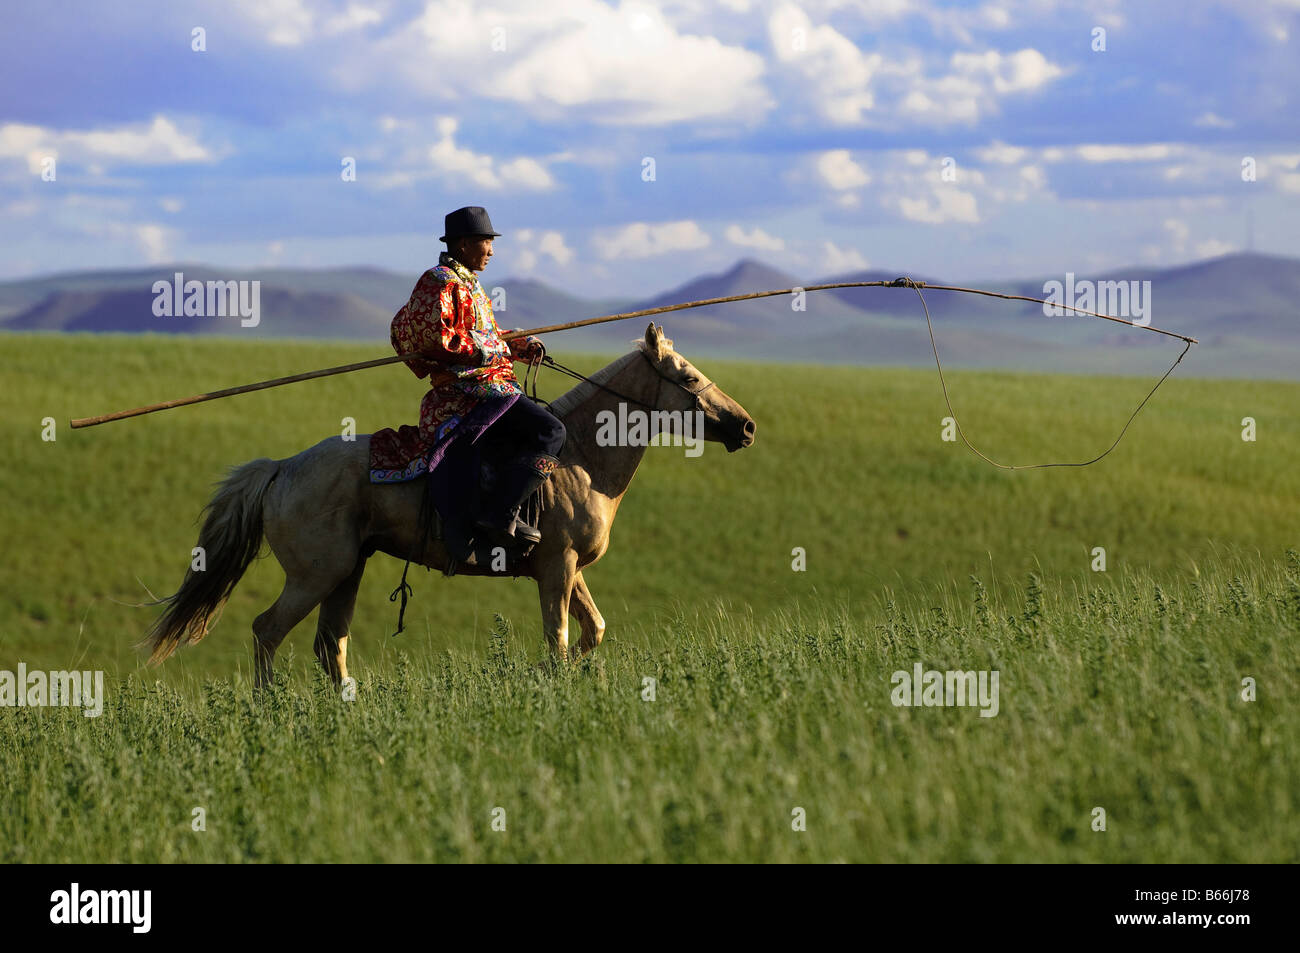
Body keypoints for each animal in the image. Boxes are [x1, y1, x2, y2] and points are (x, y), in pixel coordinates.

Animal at [144, 325, 754, 686]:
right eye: (690, 377)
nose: (745, 426)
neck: (581, 456)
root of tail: (281, 468)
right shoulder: (556, 566)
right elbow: (559, 638)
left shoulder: (568, 567)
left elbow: (593, 631)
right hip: (315, 574)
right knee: (268, 631)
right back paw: (268, 711)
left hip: (347, 571)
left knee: (329, 643)